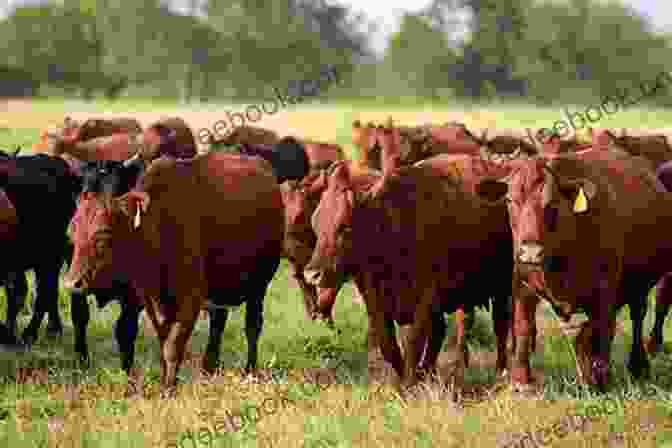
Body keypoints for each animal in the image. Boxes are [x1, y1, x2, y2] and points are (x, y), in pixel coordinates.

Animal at [61, 152, 284, 394]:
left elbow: (172, 345)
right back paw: (208, 368)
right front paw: (166, 381)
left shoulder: (190, 300)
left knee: (253, 326)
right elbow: (163, 341)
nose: (72, 283)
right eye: (71, 233)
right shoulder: (151, 301)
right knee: (218, 322)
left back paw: (250, 371)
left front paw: (168, 389)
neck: (159, 227)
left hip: (259, 286)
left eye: (103, 235)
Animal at [302, 152, 512, 394]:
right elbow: (389, 344)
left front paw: (410, 383)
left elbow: (413, 341)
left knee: (499, 326)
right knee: (447, 330)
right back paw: (433, 370)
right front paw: (404, 380)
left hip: (501, 287)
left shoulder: (425, 298)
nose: (312, 274)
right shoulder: (376, 301)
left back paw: (500, 371)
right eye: (316, 222)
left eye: (345, 226)